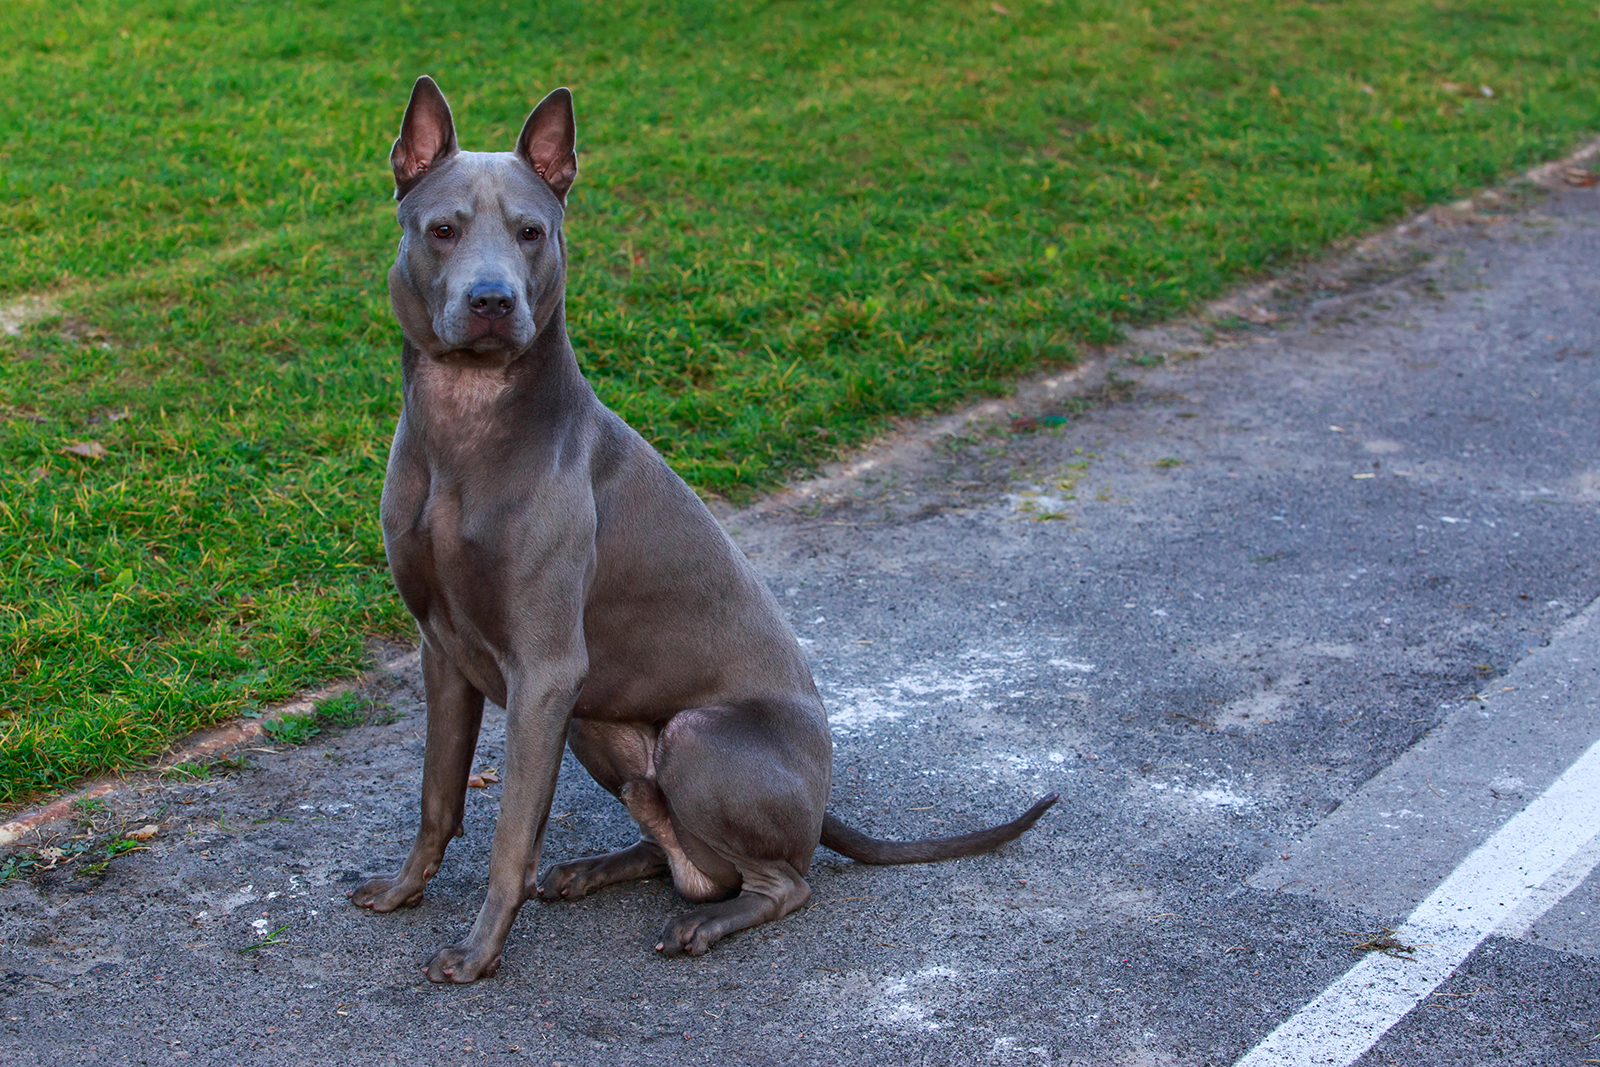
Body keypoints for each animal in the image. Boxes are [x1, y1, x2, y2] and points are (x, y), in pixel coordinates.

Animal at [344, 77, 1056, 985]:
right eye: (442, 229)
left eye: (532, 232)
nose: (493, 300)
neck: (464, 426)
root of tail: (823, 805)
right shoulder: (444, 652)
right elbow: (437, 796)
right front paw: (404, 891)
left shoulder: (543, 671)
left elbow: (509, 834)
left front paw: (477, 951)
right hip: (595, 720)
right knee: (685, 856)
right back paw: (591, 870)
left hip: (691, 736)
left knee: (780, 882)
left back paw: (704, 924)